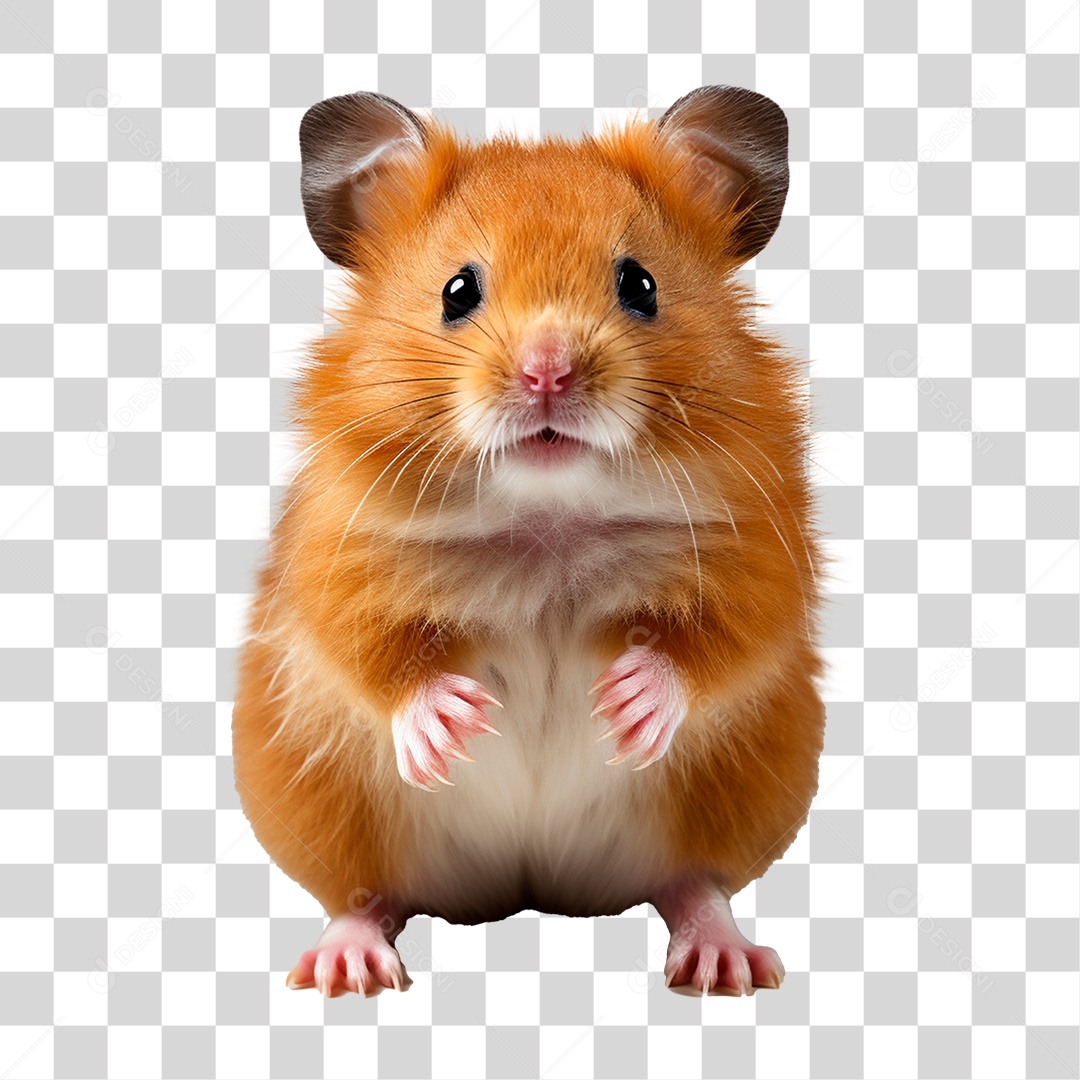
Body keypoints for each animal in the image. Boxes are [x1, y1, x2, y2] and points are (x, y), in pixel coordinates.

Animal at [232, 85, 825, 998]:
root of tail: (533, 889)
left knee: (695, 883)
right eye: (457, 290)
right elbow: (373, 658)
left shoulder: (761, 554)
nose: (548, 373)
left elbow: (714, 646)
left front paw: (625, 704)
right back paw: (348, 968)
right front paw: (456, 722)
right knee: (363, 897)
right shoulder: (331, 562)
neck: (547, 520)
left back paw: (724, 964)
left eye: (640, 283)